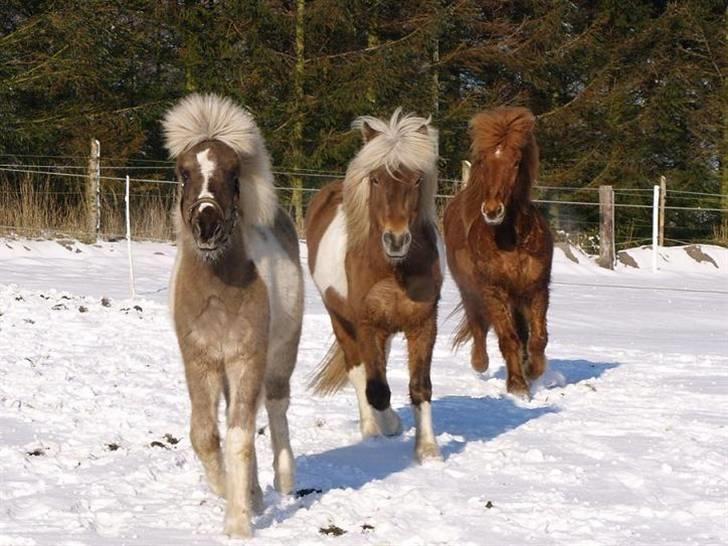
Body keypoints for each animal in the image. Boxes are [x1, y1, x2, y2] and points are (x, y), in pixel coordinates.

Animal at [164, 92, 302, 536]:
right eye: (184, 172)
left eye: (232, 171)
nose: (207, 223)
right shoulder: (202, 360)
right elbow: (206, 435)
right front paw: (229, 490)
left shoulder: (247, 358)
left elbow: (239, 434)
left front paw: (238, 521)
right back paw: (256, 493)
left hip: (278, 358)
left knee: (274, 408)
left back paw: (283, 480)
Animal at [302, 108, 440, 462]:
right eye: (376, 179)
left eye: (417, 179)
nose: (396, 240)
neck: (392, 270)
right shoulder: (366, 325)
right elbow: (376, 390)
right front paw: (391, 426)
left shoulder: (423, 324)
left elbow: (420, 386)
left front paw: (428, 449)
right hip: (341, 321)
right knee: (359, 373)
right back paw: (371, 431)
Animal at [440, 105, 556, 396]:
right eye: (483, 162)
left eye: (516, 162)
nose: (492, 210)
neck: (511, 239)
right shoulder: (494, 290)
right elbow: (508, 338)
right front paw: (517, 385)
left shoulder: (536, 288)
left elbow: (538, 338)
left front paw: (532, 371)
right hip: (471, 291)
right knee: (478, 327)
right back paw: (479, 363)